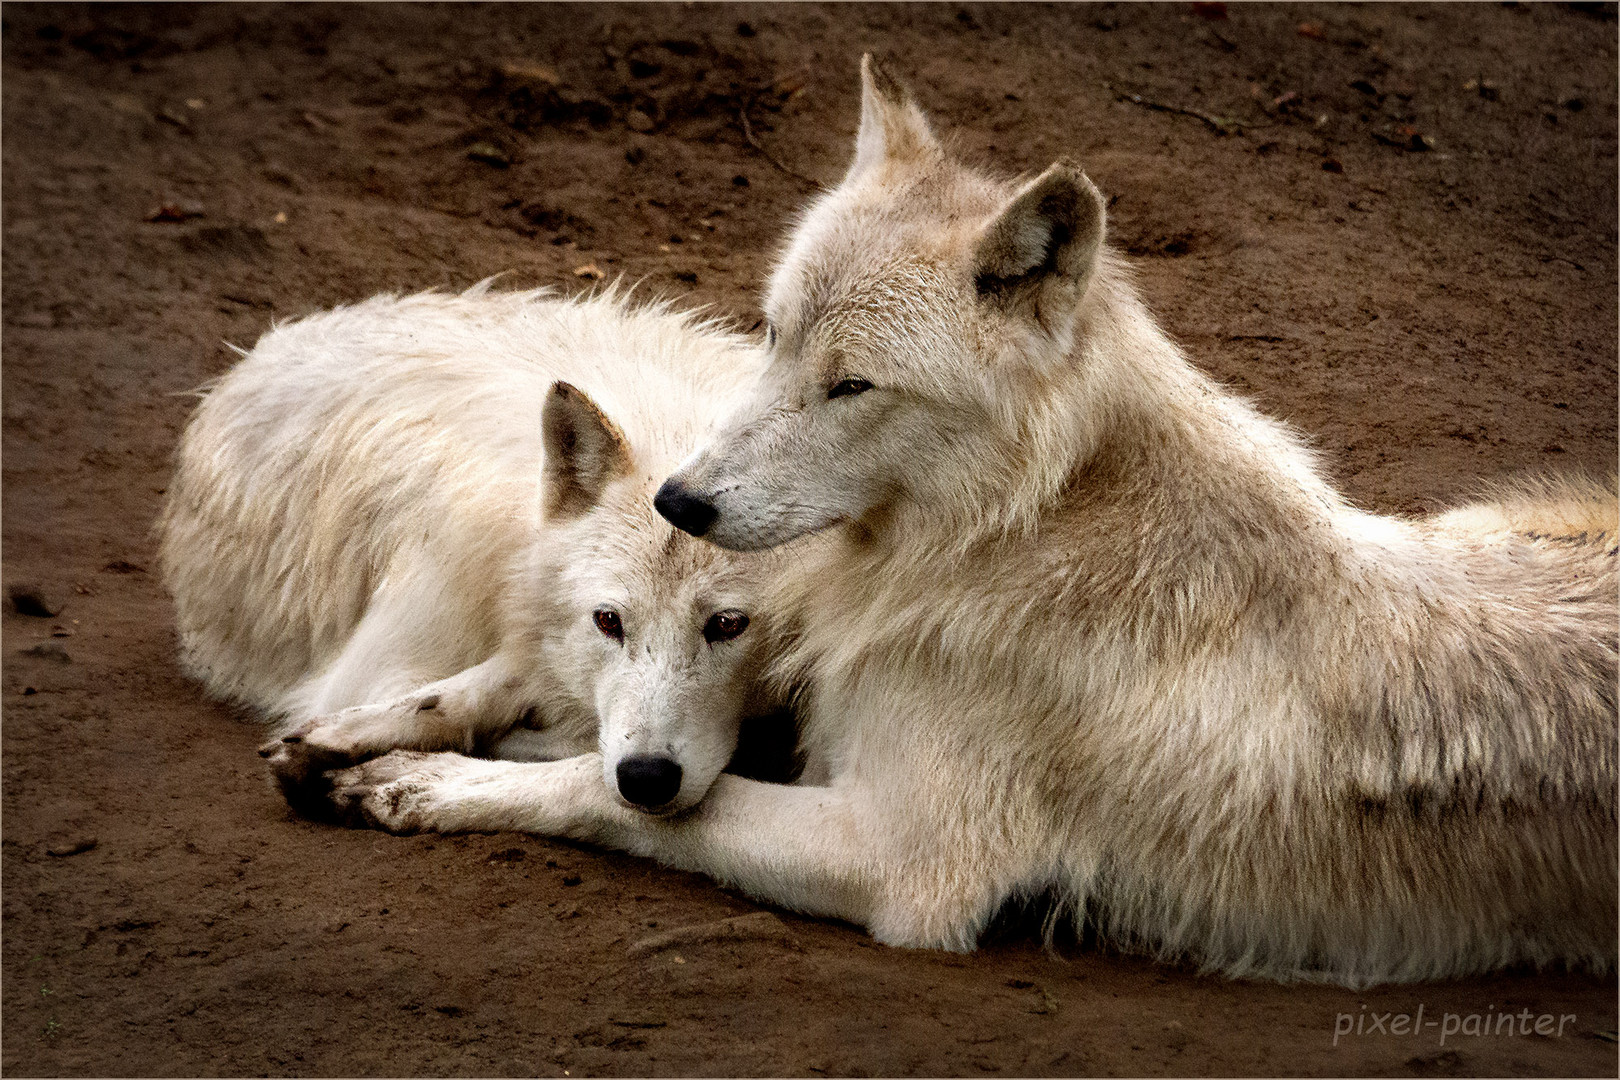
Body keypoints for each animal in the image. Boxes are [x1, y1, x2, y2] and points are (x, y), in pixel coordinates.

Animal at [319, 61, 1620, 990]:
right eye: (774, 336)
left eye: (853, 386)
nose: (679, 500)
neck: (1016, 536)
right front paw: (376, 727)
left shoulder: (901, 860)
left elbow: (626, 791)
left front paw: (429, 785)